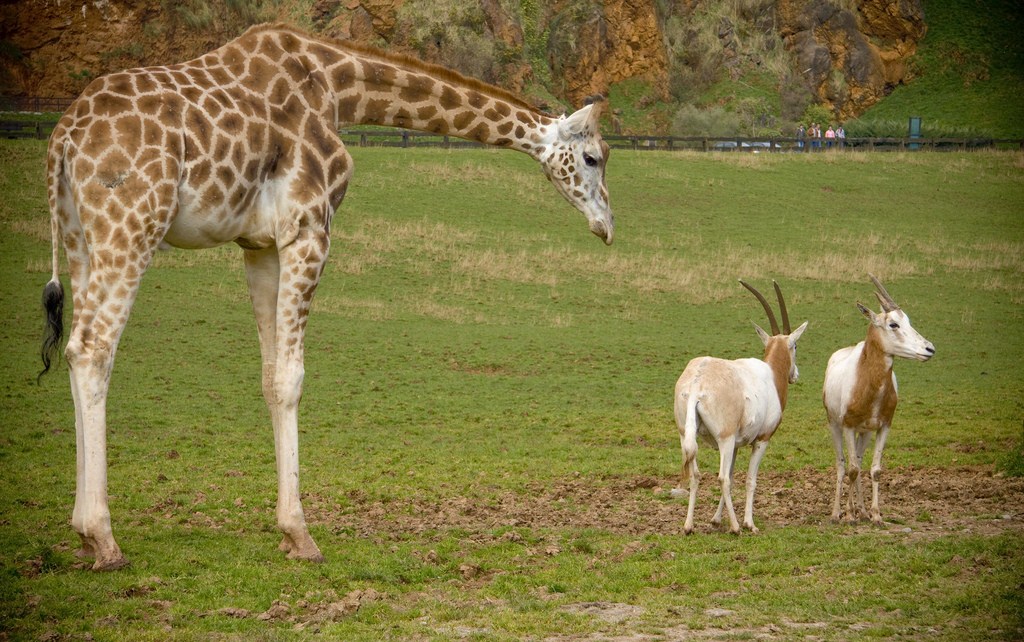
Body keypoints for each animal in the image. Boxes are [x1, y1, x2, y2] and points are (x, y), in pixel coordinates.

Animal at [38, 23, 613, 571]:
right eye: (592, 157)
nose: (606, 226)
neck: (339, 88)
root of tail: (64, 137)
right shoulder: (309, 228)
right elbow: (292, 378)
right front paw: (301, 535)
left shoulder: (260, 245)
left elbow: (270, 376)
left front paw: (286, 534)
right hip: (132, 227)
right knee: (93, 349)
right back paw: (104, 539)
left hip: (78, 236)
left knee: (74, 349)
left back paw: (82, 535)